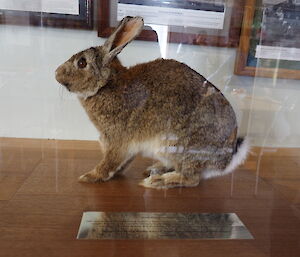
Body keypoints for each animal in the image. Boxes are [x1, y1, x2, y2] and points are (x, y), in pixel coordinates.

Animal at [55, 16, 250, 188]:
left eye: (81, 63)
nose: (56, 73)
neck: (106, 84)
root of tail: (225, 161)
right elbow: (123, 162)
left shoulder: (117, 141)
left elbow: (109, 162)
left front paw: (89, 176)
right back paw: (155, 170)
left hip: (180, 146)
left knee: (192, 178)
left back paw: (158, 181)